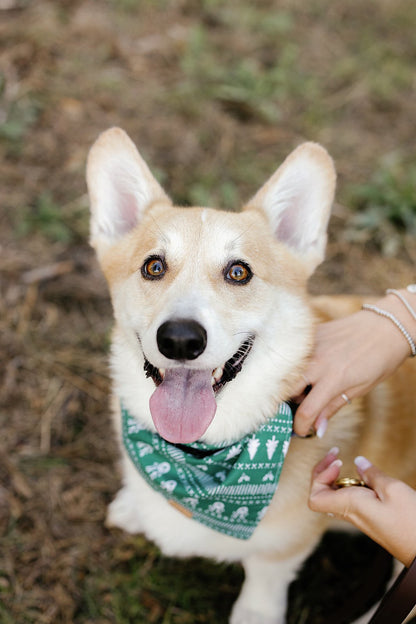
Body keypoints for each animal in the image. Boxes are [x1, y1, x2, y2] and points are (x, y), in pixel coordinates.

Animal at [86, 127, 416, 624]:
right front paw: (132, 506)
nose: (180, 340)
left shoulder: (285, 547)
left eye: (238, 272)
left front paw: (255, 612)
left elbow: (264, 577)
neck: (197, 456)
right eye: (153, 266)